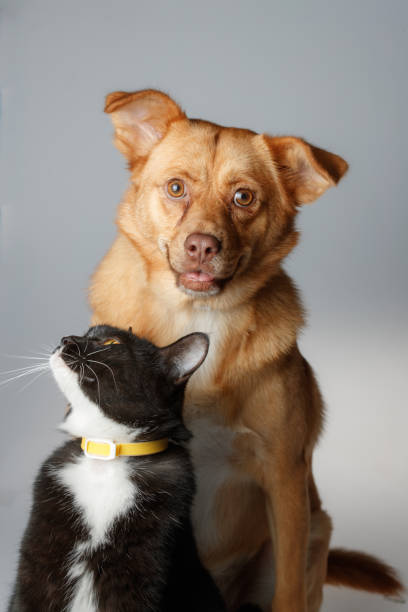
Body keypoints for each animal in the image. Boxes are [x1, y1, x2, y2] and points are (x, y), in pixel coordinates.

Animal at [8, 326, 258, 612]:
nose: (67, 339)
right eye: (88, 332)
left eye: (112, 342)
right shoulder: (37, 562)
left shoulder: (143, 567)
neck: (106, 457)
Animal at [87, 89, 404, 612]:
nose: (202, 246)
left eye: (243, 197)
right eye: (176, 188)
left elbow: (289, 590)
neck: (197, 320)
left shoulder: (286, 479)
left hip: (316, 527)